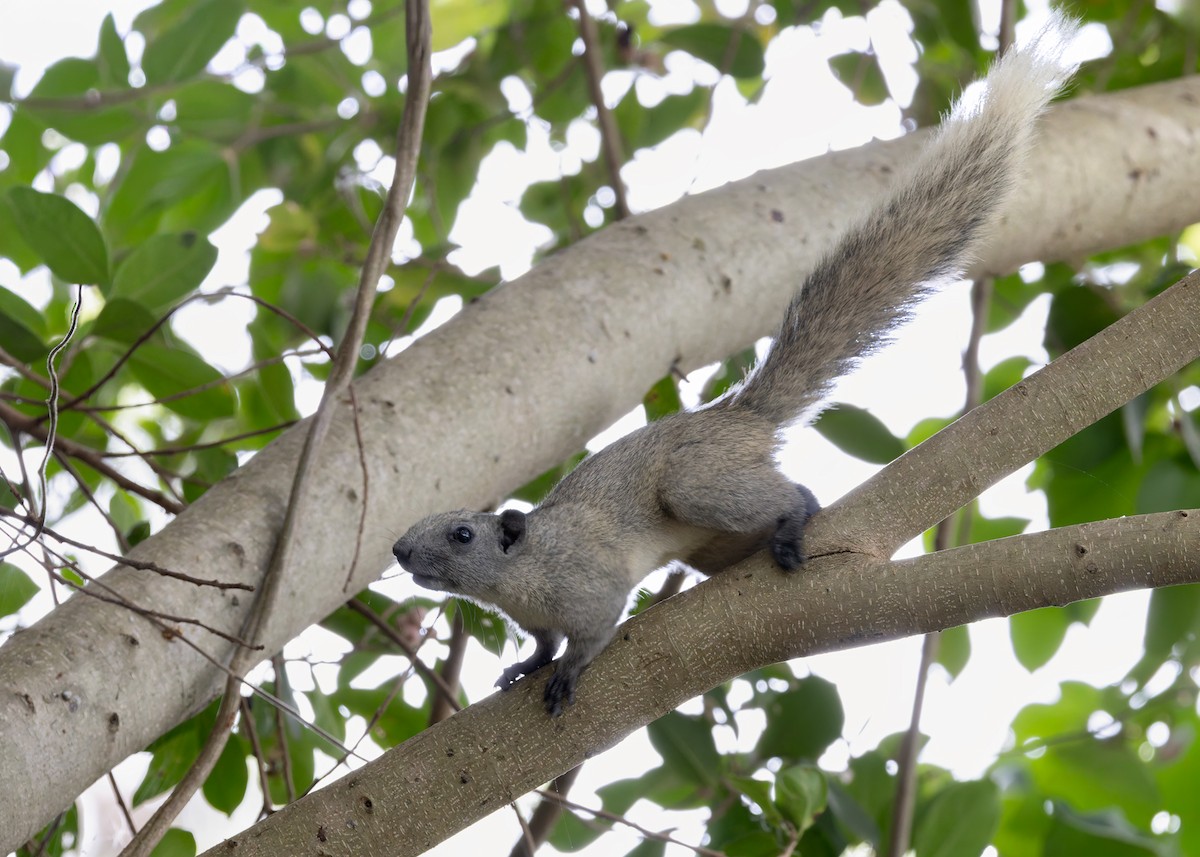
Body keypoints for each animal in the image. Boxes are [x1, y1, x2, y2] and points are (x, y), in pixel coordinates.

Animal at [393, 17, 1078, 717]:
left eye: (462, 535)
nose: (398, 549)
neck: (520, 574)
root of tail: (738, 417)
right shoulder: (538, 616)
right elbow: (542, 642)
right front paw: (527, 665)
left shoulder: (588, 586)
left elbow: (590, 635)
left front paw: (566, 674)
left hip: (699, 484)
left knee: (790, 495)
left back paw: (796, 522)